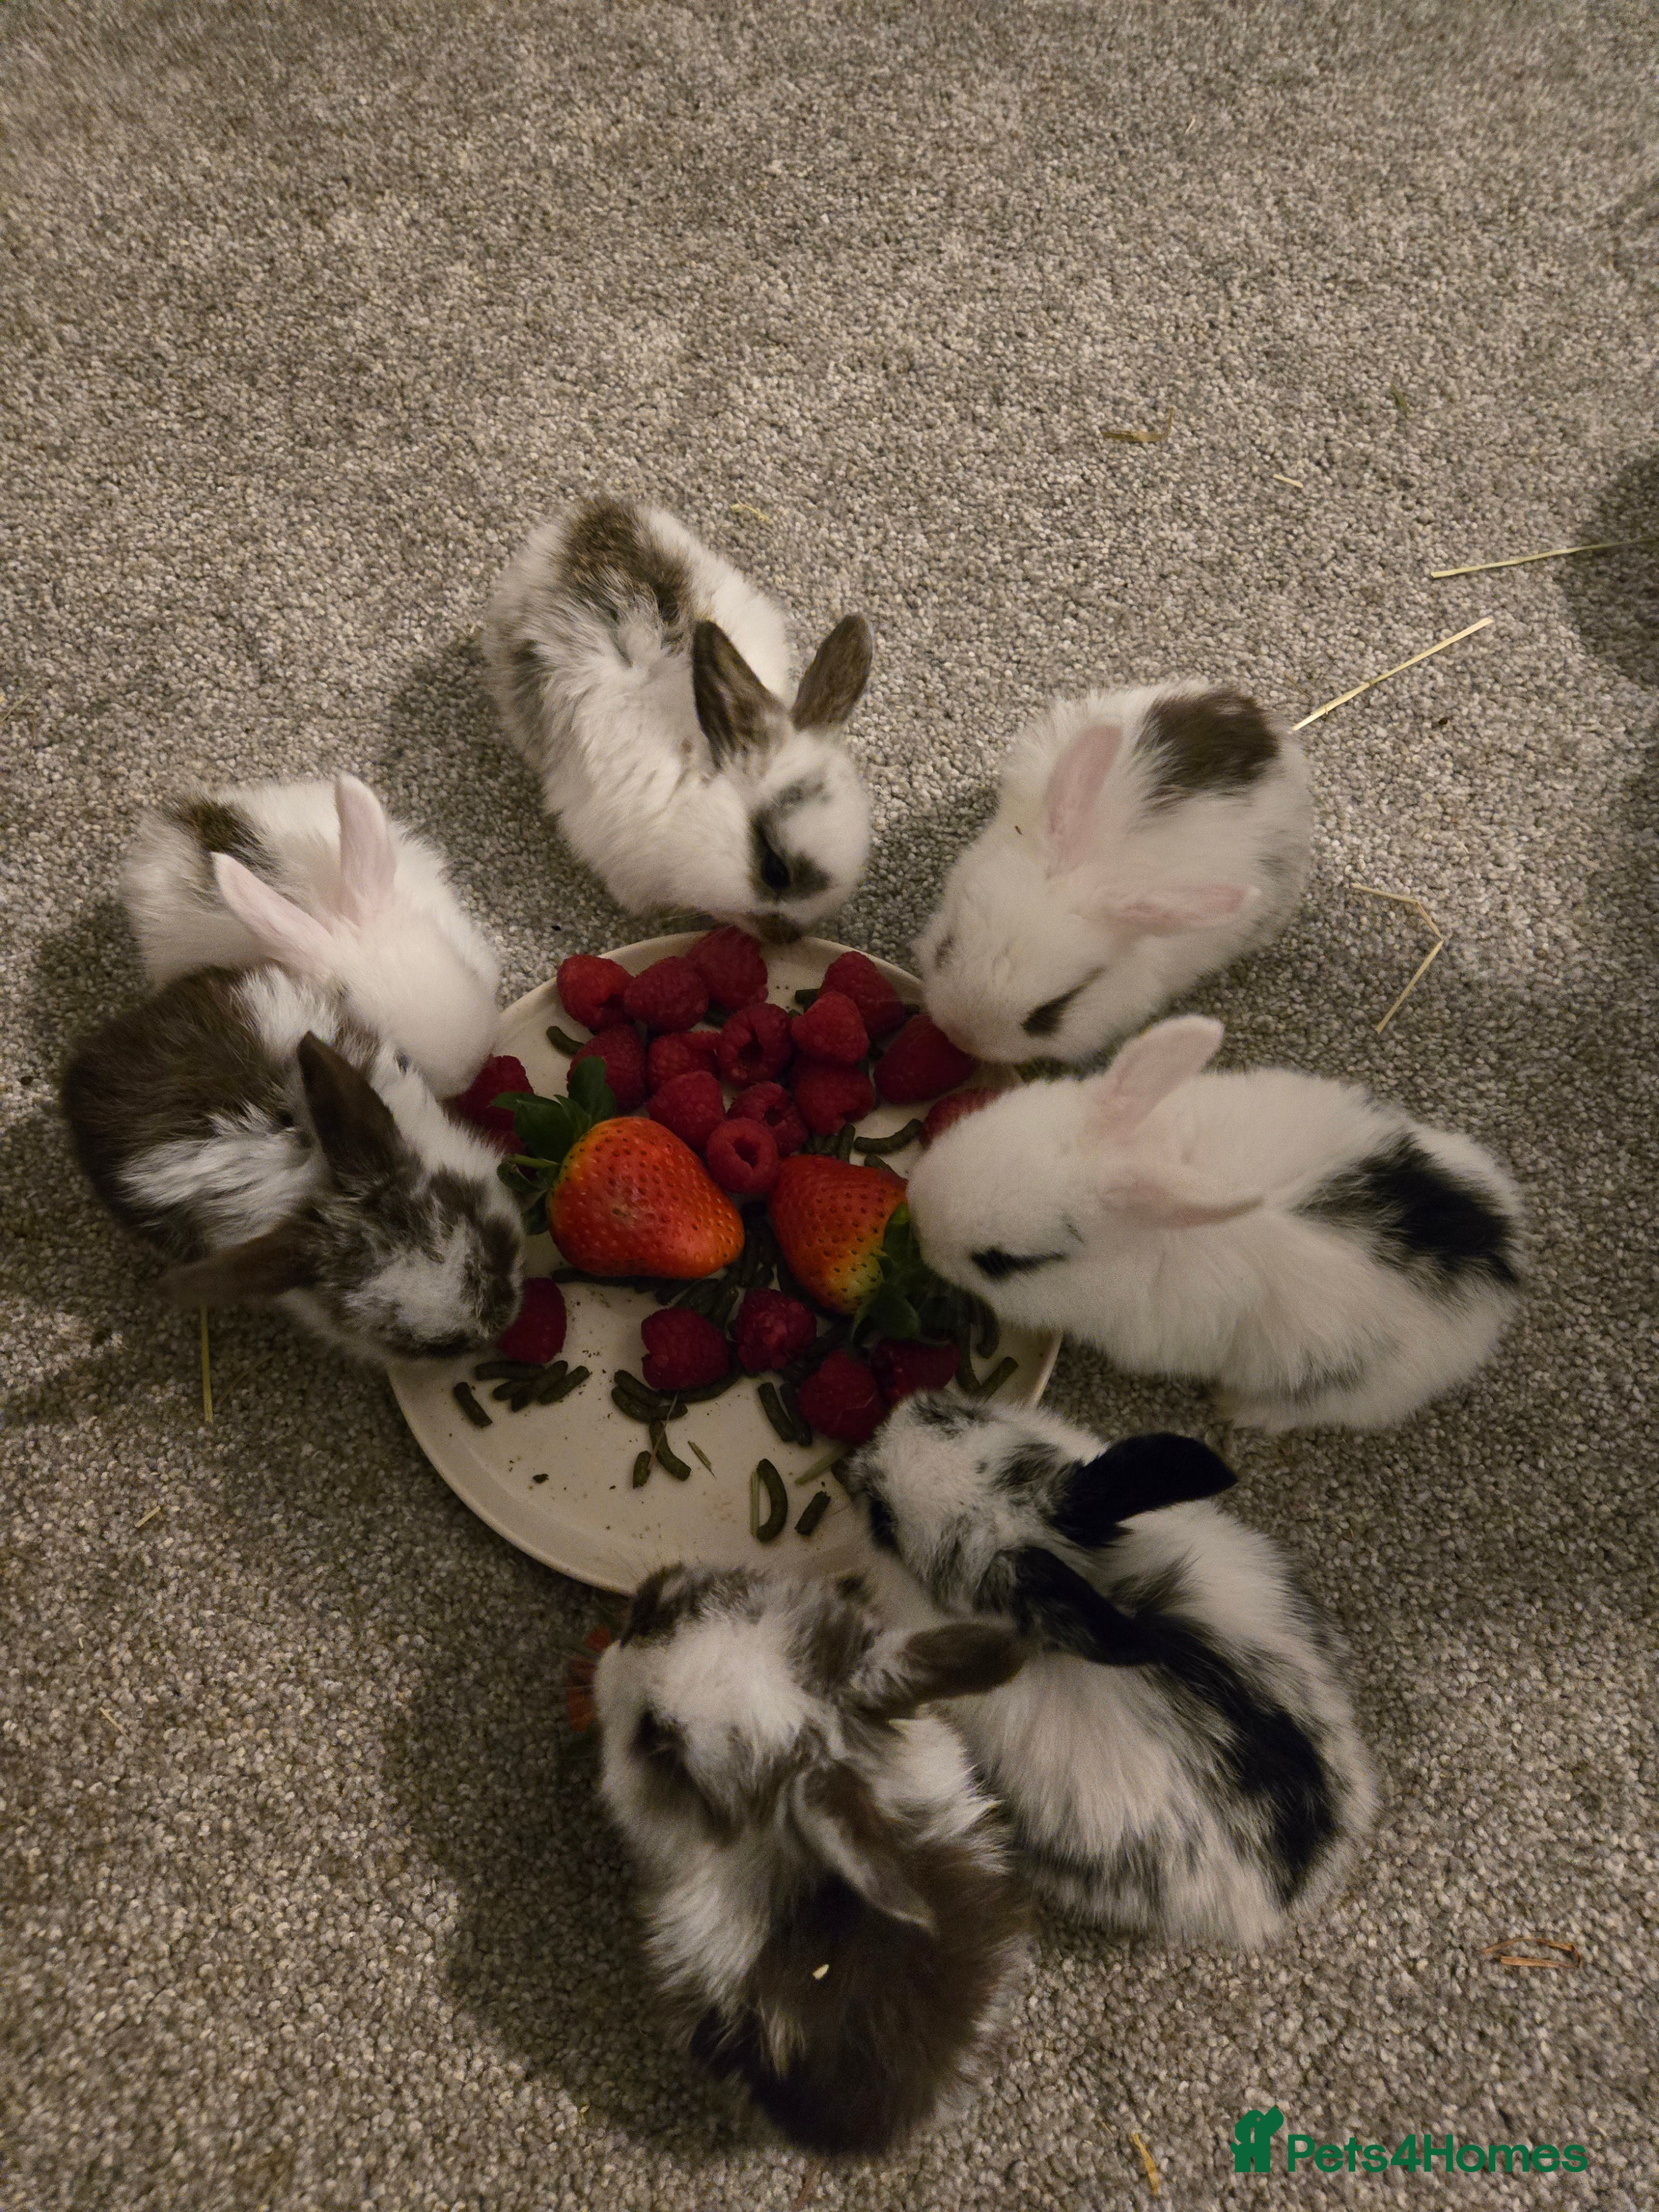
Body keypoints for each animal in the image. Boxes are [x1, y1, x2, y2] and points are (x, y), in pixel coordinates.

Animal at [906, 1014, 1524, 1431]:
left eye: (1003, 1262)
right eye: (982, 1119)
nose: (917, 1218)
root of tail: (1501, 1270)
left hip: (1347, 1386)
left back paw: (1237, 1410)